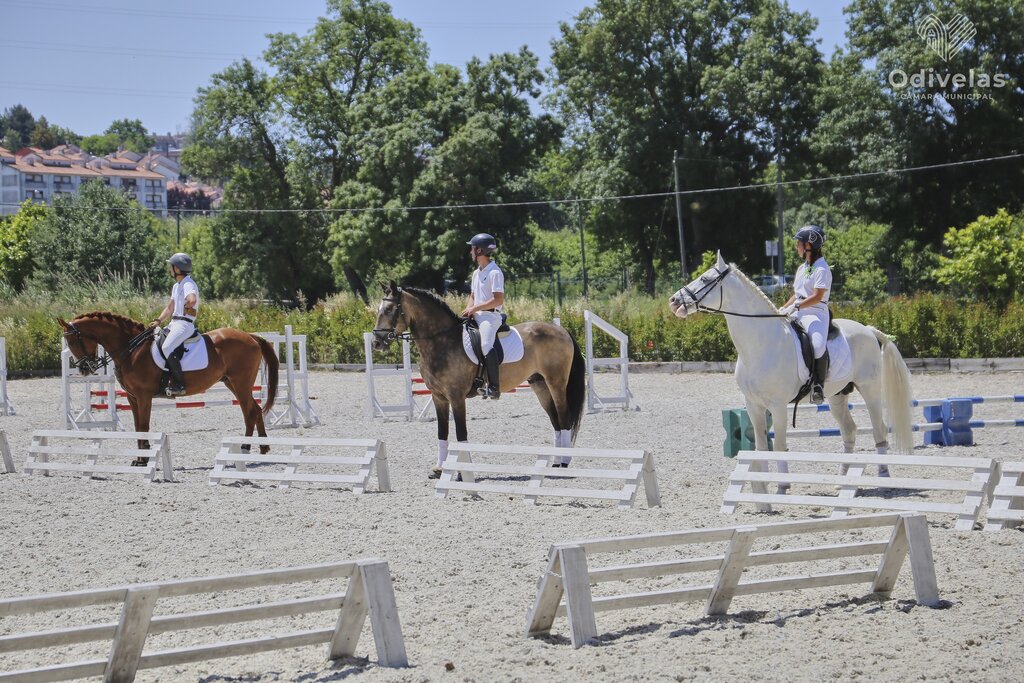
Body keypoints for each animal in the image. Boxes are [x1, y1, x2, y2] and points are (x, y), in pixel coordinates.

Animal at [58, 312, 279, 457]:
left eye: (74, 342)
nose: (84, 369)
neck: (132, 351)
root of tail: (250, 336)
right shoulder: (132, 397)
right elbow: (137, 426)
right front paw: (139, 459)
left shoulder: (144, 396)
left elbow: (144, 425)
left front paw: (144, 459)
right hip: (232, 383)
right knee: (254, 409)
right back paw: (262, 447)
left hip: (240, 384)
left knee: (250, 411)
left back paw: (246, 448)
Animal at [371, 282, 586, 473]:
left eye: (389, 310)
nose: (376, 342)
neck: (442, 341)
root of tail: (561, 330)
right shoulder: (438, 397)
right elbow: (442, 431)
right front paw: (439, 468)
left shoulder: (456, 397)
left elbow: (461, 433)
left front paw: (461, 471)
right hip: (539, 384)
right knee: (555, 420)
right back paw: (556, 463)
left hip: (556, 382)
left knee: (564, 417)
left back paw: (564, 462)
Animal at [668, 252, 914, 480]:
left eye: (704, 278)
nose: (673, 301)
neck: (760, 345)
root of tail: (868, 330)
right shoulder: (753, 405)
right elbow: (761, 447)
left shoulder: (777, 406)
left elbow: (779, 447)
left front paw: (782, 485)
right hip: (837, 395)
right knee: (849, 431)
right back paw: (842, 477)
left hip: (870, 389)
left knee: (879, 429)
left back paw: (883, 473)